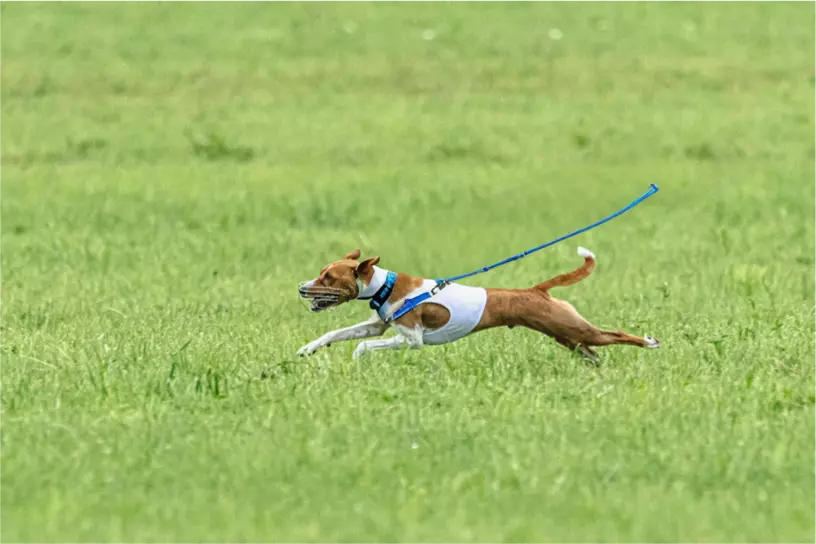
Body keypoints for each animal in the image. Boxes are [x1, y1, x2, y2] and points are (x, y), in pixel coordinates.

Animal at [296, 249, 660, 364]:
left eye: (328, 277)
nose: (301, 288)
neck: (386, 286)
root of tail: (538, 290)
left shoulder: (412, 339)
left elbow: (364, 346)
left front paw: (357, 360)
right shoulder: (379, 325)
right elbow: (336, 333)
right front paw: (307, 349)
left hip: (573, 328)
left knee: (615, 334)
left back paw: (649, 342)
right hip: (567, 336)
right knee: (593, 351)